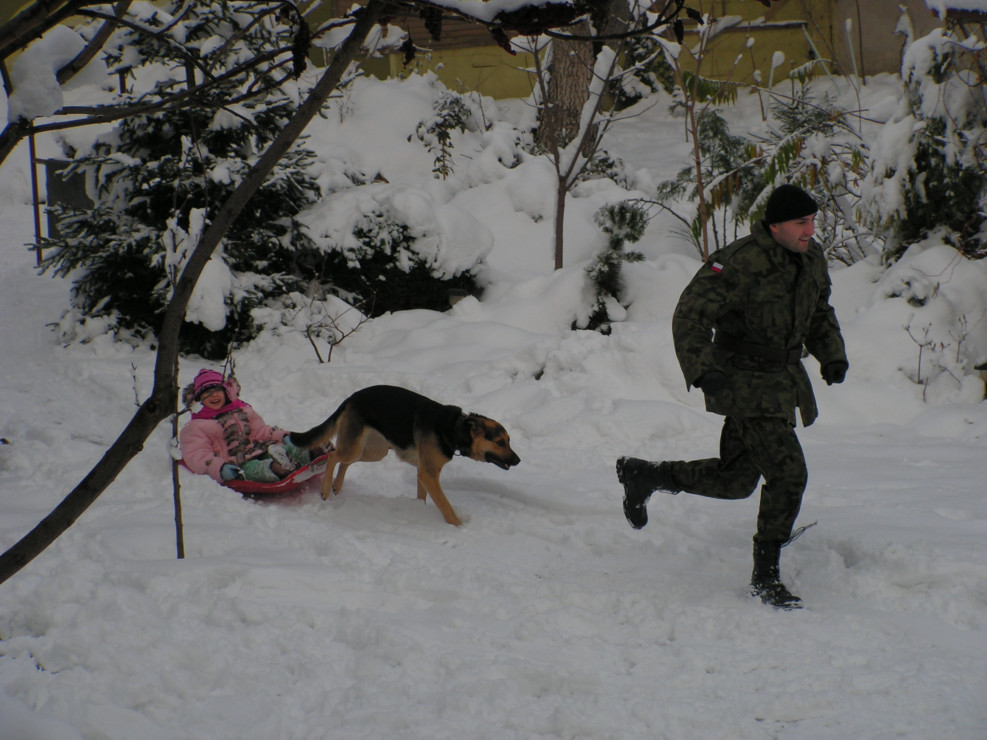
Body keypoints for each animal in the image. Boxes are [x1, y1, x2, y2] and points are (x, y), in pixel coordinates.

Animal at [292, 384, 524, 524]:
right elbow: (445, 505)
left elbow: (423, 496)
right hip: (357, 447)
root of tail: (352, 396)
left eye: (509, 441)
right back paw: (325, 490)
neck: (454, 428)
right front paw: (458, 525)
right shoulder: (429, 474)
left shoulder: (424, 473)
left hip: (374, 450)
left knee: (344, 461)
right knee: (333, 456)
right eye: (500, 442)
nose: (518, 460)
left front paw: (419, 509)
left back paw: (337, 486)